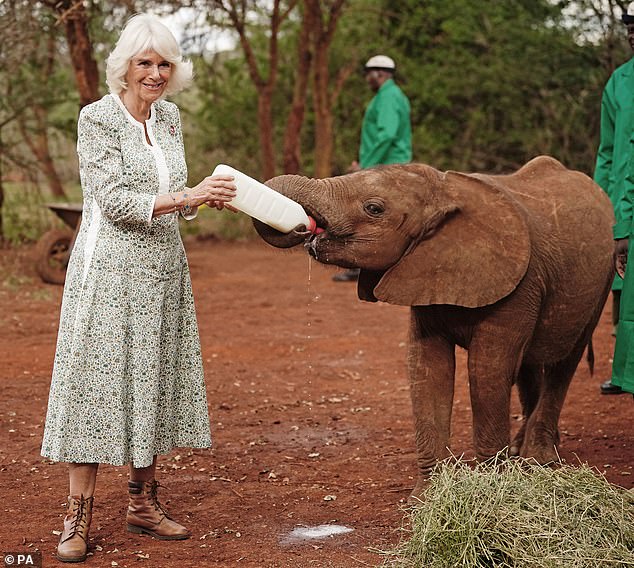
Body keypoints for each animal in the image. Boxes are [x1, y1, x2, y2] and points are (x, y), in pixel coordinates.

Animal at [252, 156, 612, 496]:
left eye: (374, 208)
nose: (303, 228)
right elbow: (427, 367)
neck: (445, 191)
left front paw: (490, 489)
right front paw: (428, 496)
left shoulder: (519, 287)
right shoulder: (425, 272)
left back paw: (538, 460)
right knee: (529, 366)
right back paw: (520, 452)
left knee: (563, 364)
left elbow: (487, 371)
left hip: (600, 283)